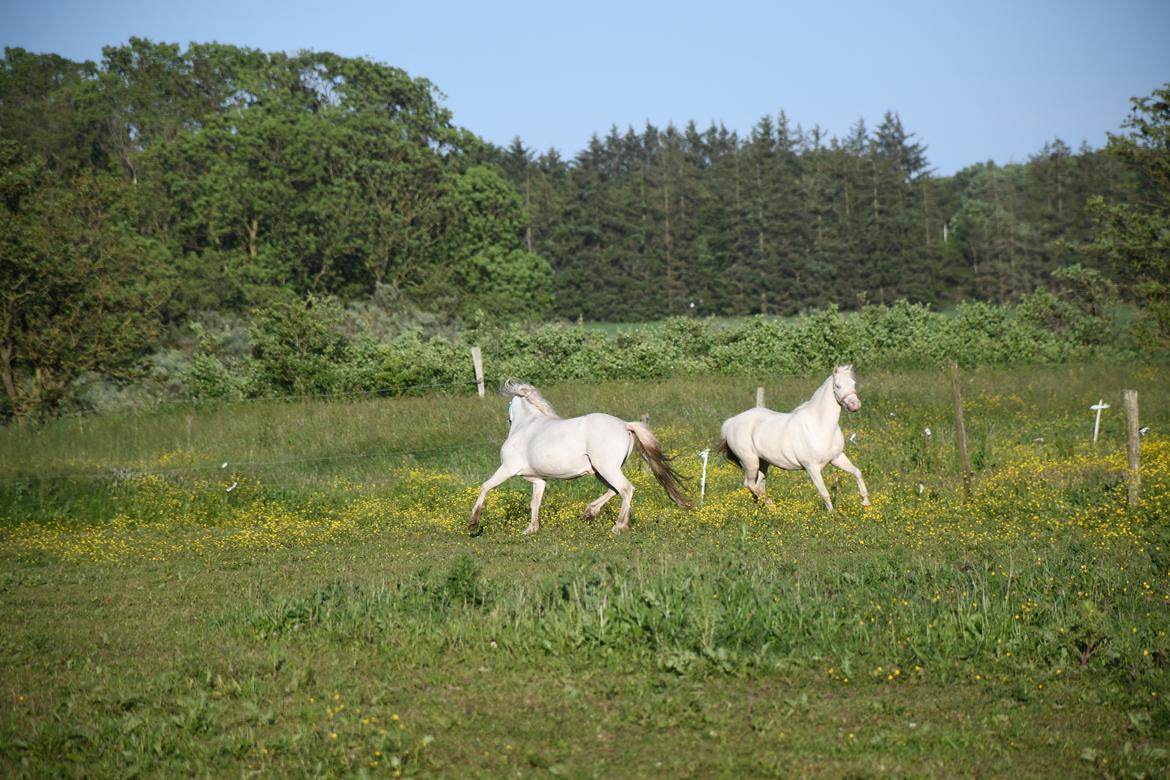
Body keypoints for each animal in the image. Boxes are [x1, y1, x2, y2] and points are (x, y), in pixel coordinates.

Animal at [470, 378, 687, 537]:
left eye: (509, 407)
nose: (508, 421)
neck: (526, 426)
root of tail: (625, 424)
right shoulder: (539, 480)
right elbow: (535, 502)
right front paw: (531, 529)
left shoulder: (507, 468)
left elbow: (485, 487)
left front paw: (473, 523)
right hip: (601, 471)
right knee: (614, 490)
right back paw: (589, 513)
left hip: (606, 468)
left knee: (626, 489)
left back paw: (618, 525)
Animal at [716, 367, 875, 512]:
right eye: (838, 385)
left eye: (854, 383)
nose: (855, 405)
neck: (820, 425)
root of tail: (731, 422)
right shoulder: (812, 468)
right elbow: (824, 492)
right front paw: (832, 515)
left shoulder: (837, 458)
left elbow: (857, 472)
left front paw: (866, 502)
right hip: (750, 462)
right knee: (749, 484)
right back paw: (772, 507)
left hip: (763, 463)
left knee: (758, 484)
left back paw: (762, 508)